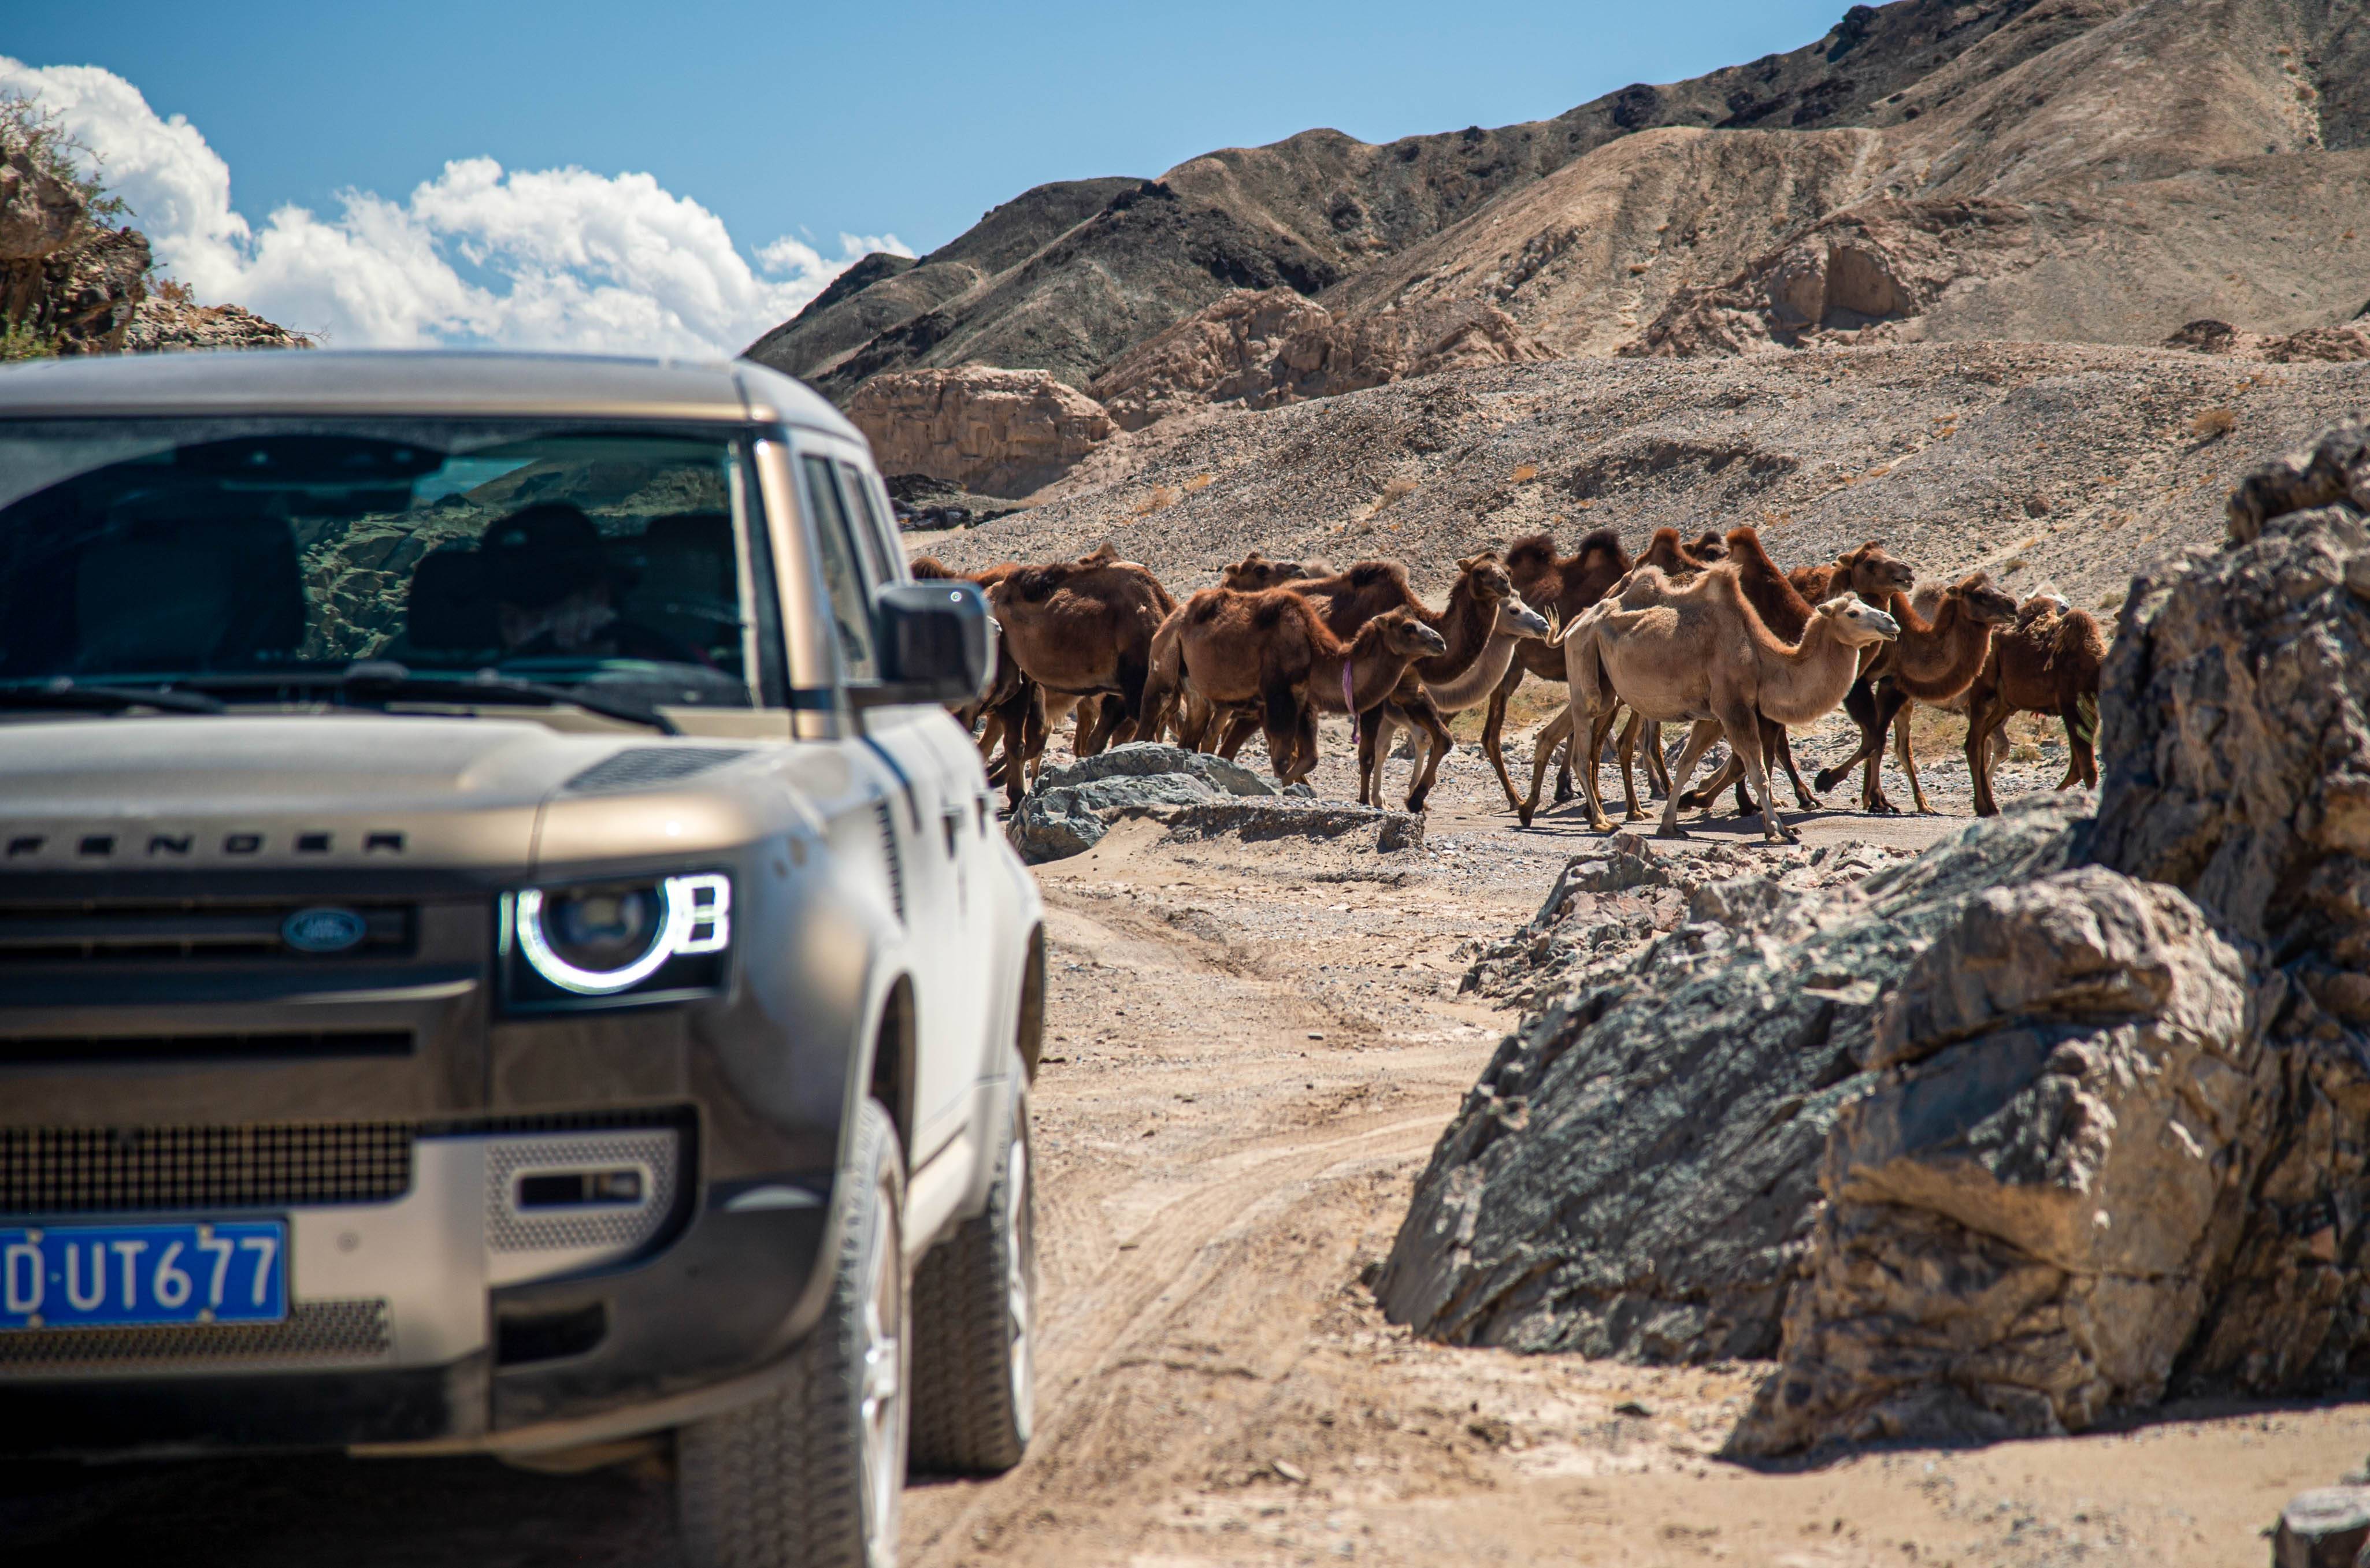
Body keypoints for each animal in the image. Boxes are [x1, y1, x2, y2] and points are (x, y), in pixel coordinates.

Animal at [1152, 589, 1441, 786]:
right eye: (1408, 627)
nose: (1440, 641)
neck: (1313, 651)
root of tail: (1174, 616)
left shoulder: (1302, 698)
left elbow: (1309, 757)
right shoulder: (1278, 698)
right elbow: (1282, 759)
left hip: (1197, 688)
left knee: (1194, 733)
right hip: (1162, 661)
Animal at [1536, 568, 1905, 843]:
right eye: (1854, 613)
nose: (1891, 623)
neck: (1761, 659)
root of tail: (1577, 622)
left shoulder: (1714, 716)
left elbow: (1688, 763)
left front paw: (1671, 822)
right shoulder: (1733, 707)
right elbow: (1757, 770)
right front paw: (1779, 830)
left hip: (1607, 683)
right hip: (1585, 662)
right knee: (1584, 746)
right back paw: (1600, 820)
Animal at [1962, 599, 2114, 824]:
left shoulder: (2088, 709)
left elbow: (2076, 768)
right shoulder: (2072, 705)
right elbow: (2087, 767)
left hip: (2006, 703)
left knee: (1981, 740)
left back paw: (1989, 806)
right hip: (1984, 692)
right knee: (1974, 743)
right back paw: (1983, 807)